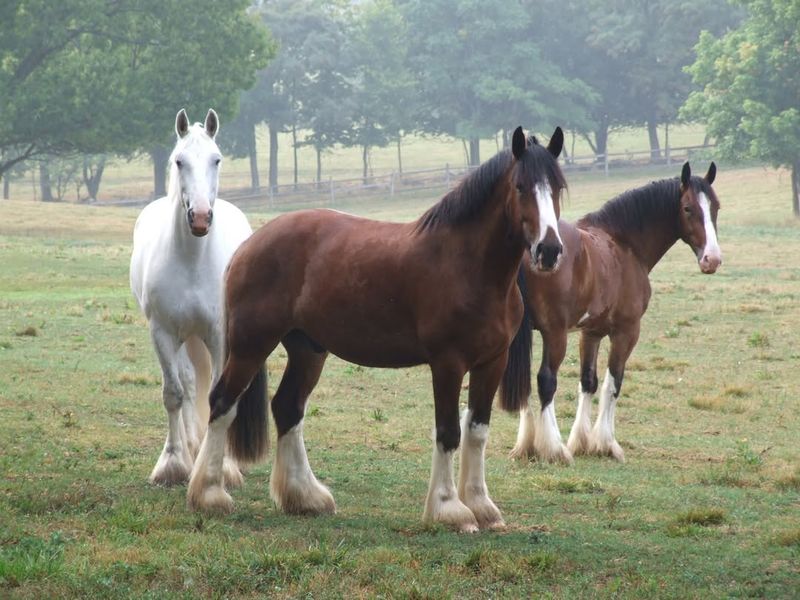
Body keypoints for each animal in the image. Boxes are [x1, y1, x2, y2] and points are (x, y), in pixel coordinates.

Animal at [128, 109, 260, 488]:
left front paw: (224, 467)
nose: (200, 217)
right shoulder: (162, 333)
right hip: (183, 337)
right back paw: (190, 444)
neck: (192, 260)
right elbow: (173, 394)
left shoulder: (218, 334)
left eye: (216, 159)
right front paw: (172, 462)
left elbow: (221, 394)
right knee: (186, 383)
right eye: (179, 161)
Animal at [186, 125, 568, 528]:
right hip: (251, 344)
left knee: (288, 407)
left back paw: (305, 496)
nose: (549, 250)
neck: (468, 266)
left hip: (308, 350)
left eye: (558, 187)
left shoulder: (492, 361)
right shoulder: (447, 364)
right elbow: (448, 432)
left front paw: (481, 505)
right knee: (222, 402)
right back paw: (209, 494)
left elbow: (476, 431)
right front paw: (448, 508)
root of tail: (249, 244)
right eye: (521, 187)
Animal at [506, 163, 724, 464]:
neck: (624, 244)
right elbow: (613, 382)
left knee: (524, 381)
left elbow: (588, 382)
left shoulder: (591, 332)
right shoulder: (626, 331)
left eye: (716, 206)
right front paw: (606, 443)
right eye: (688, 208)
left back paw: (526, 445)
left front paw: (582, 441)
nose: (712, 259)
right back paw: (554, 448)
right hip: (555, 334)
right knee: (545, 381)